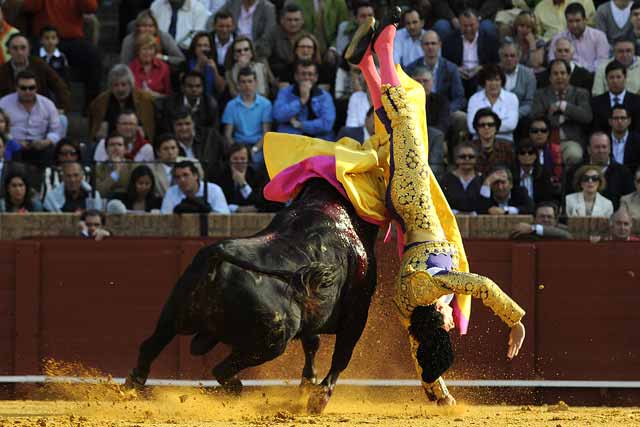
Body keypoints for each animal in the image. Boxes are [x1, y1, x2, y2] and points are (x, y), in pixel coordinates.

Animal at [127, 179, 382, 412]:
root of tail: (216, 256)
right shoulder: (357, 311)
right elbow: (341, 355)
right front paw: (318, 398)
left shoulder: (314, 316)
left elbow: (312, 344)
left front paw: (307, 384)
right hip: (272, 341)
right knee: (222, 369)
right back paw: (234, 391)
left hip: (173, 317)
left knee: (150, 347)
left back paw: (132, 387)